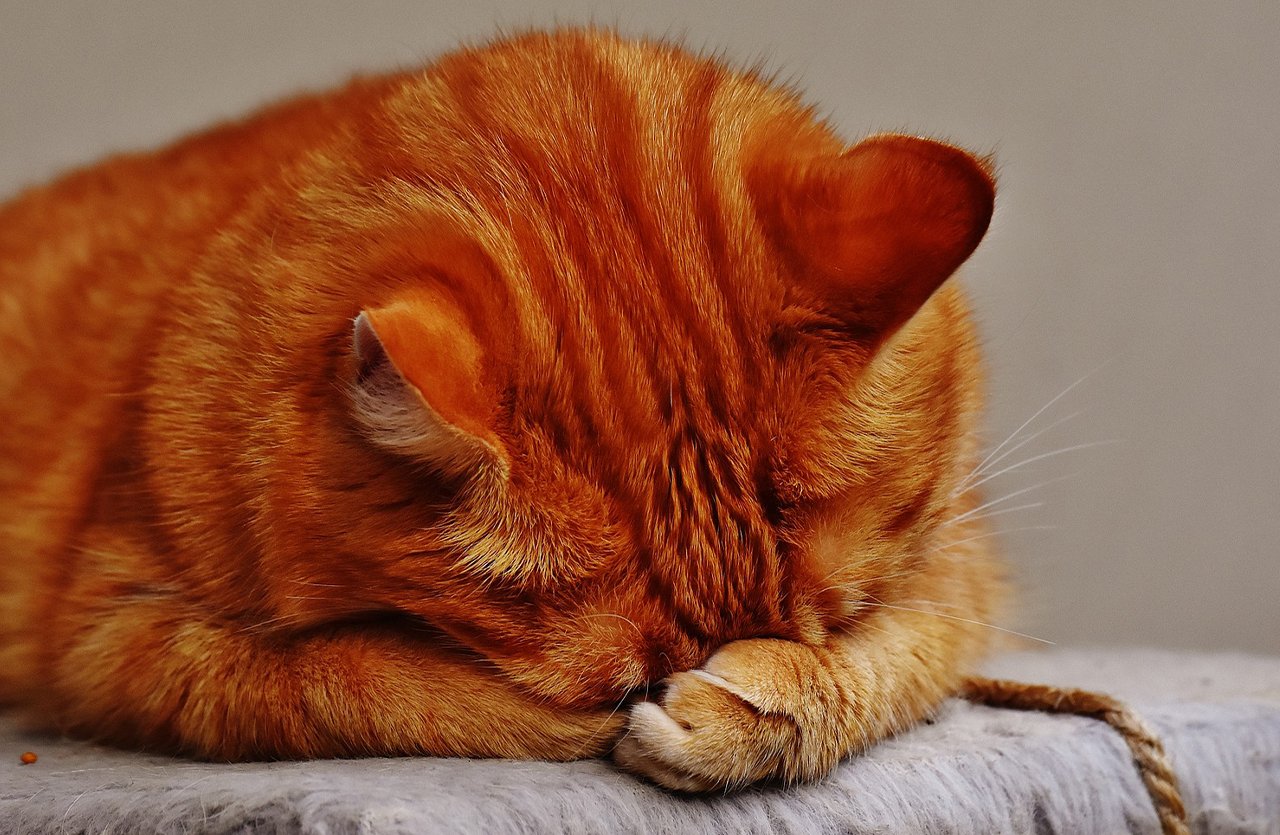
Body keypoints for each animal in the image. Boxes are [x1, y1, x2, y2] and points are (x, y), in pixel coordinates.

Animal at [0, 27, 998, 788]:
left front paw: (760, 707)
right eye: (620, 679)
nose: (686, 674)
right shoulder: (122, 634)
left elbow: (890, 659)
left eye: (815, 622)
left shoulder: (960, 571)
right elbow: (358, 681)